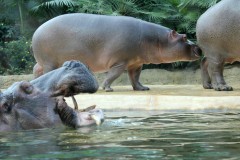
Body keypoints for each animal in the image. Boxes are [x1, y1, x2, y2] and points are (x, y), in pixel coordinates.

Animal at [31, 13, 202, 92]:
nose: (198, 47)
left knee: (36, 69)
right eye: (184, 37)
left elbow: (135, 78)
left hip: (42, 62)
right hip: (50, 62)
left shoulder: (136, 63)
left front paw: (143, 89)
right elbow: (113, 75)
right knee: (48, 73)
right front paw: (107, 88)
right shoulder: (120, 62)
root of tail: (37, 30)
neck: (157, 39)